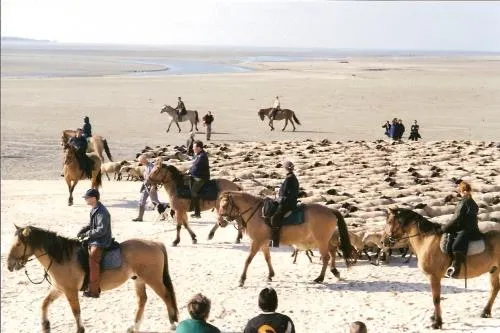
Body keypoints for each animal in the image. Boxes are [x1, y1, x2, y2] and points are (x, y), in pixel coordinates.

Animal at [6, 224, 179, 330]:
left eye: (18, 244)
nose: (9, 265)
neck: (63, 257)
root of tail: (155, 244)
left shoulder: (70, 291)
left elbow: (76, 311)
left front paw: (80, 329)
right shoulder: (59, 289)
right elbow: (44, 304)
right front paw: (45, 326)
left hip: (153, 280)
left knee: (166, 296)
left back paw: (172, 323)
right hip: (139, 280)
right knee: (142, 300)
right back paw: (133, 327)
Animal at [217, 191, 354, 286]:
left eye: (224, 205)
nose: (220, 222)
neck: (258, 214)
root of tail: (330, 210)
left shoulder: (256, 242)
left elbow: (248, 260)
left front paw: (242, 279)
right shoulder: (264, 242)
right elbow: (267, 258)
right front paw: (270, 274)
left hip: (321, 241)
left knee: (326, 257)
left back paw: (320, 278)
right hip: (326, 240)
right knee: (333, 252)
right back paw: (334, 271)